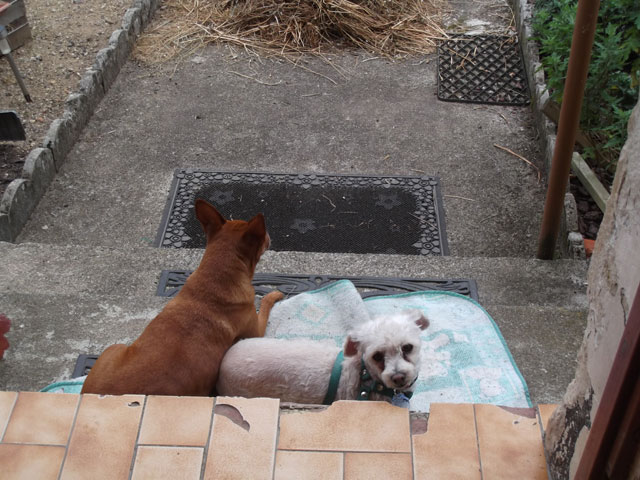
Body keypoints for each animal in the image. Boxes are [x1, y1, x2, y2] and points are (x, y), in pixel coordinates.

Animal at [81, 200, 282, 398]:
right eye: (263, 236)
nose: (269, 235)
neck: (215, 276)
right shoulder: (256, 330)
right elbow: (265, 305)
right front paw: (274, 294)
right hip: (114, 347)